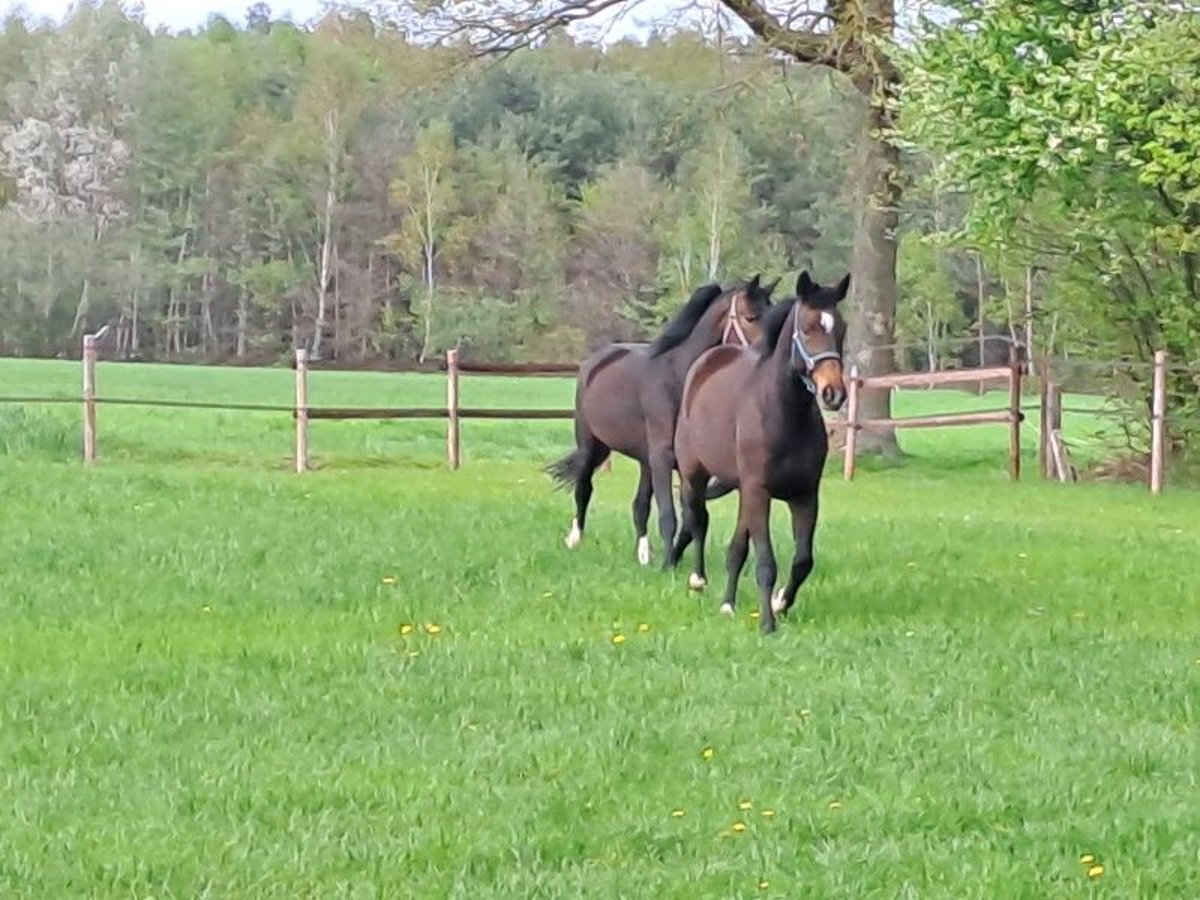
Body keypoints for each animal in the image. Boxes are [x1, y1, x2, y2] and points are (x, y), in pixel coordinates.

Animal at [547, 278, 777, 566]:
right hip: (592, 444)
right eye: (750, 317)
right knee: (583, 488)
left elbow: (689, 519)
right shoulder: (664, 458)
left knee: (640, 505)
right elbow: (669, 515)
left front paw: (674, 558)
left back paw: (644, 555)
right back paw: (575, 539)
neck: (679, 380)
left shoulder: (686, 465)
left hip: (644, 460)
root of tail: (594, 362)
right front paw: (668, 564)